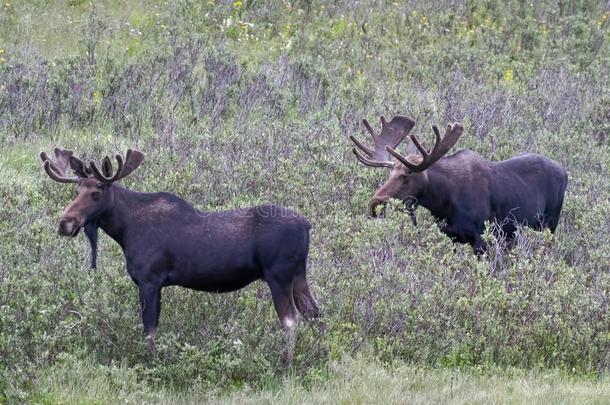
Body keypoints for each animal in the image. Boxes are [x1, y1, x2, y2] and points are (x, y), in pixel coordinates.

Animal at [40, 147, 320, 362]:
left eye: (96, 193)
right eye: (76, 191)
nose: (65, 223)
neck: (125, 230)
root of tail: (307, 225)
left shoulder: (150, 281)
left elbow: (149, 331)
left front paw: (151, 365)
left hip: (278, 275)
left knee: (291, 320)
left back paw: (286, 364)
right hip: (298, 275)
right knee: (316, 314)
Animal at [350, 114, 568, 252]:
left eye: (407, 176)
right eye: (390, 173)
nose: (375, 203)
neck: (442, 203)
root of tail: (565, 172)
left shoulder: (481, 239)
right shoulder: (452, 237)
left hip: (550, 225)